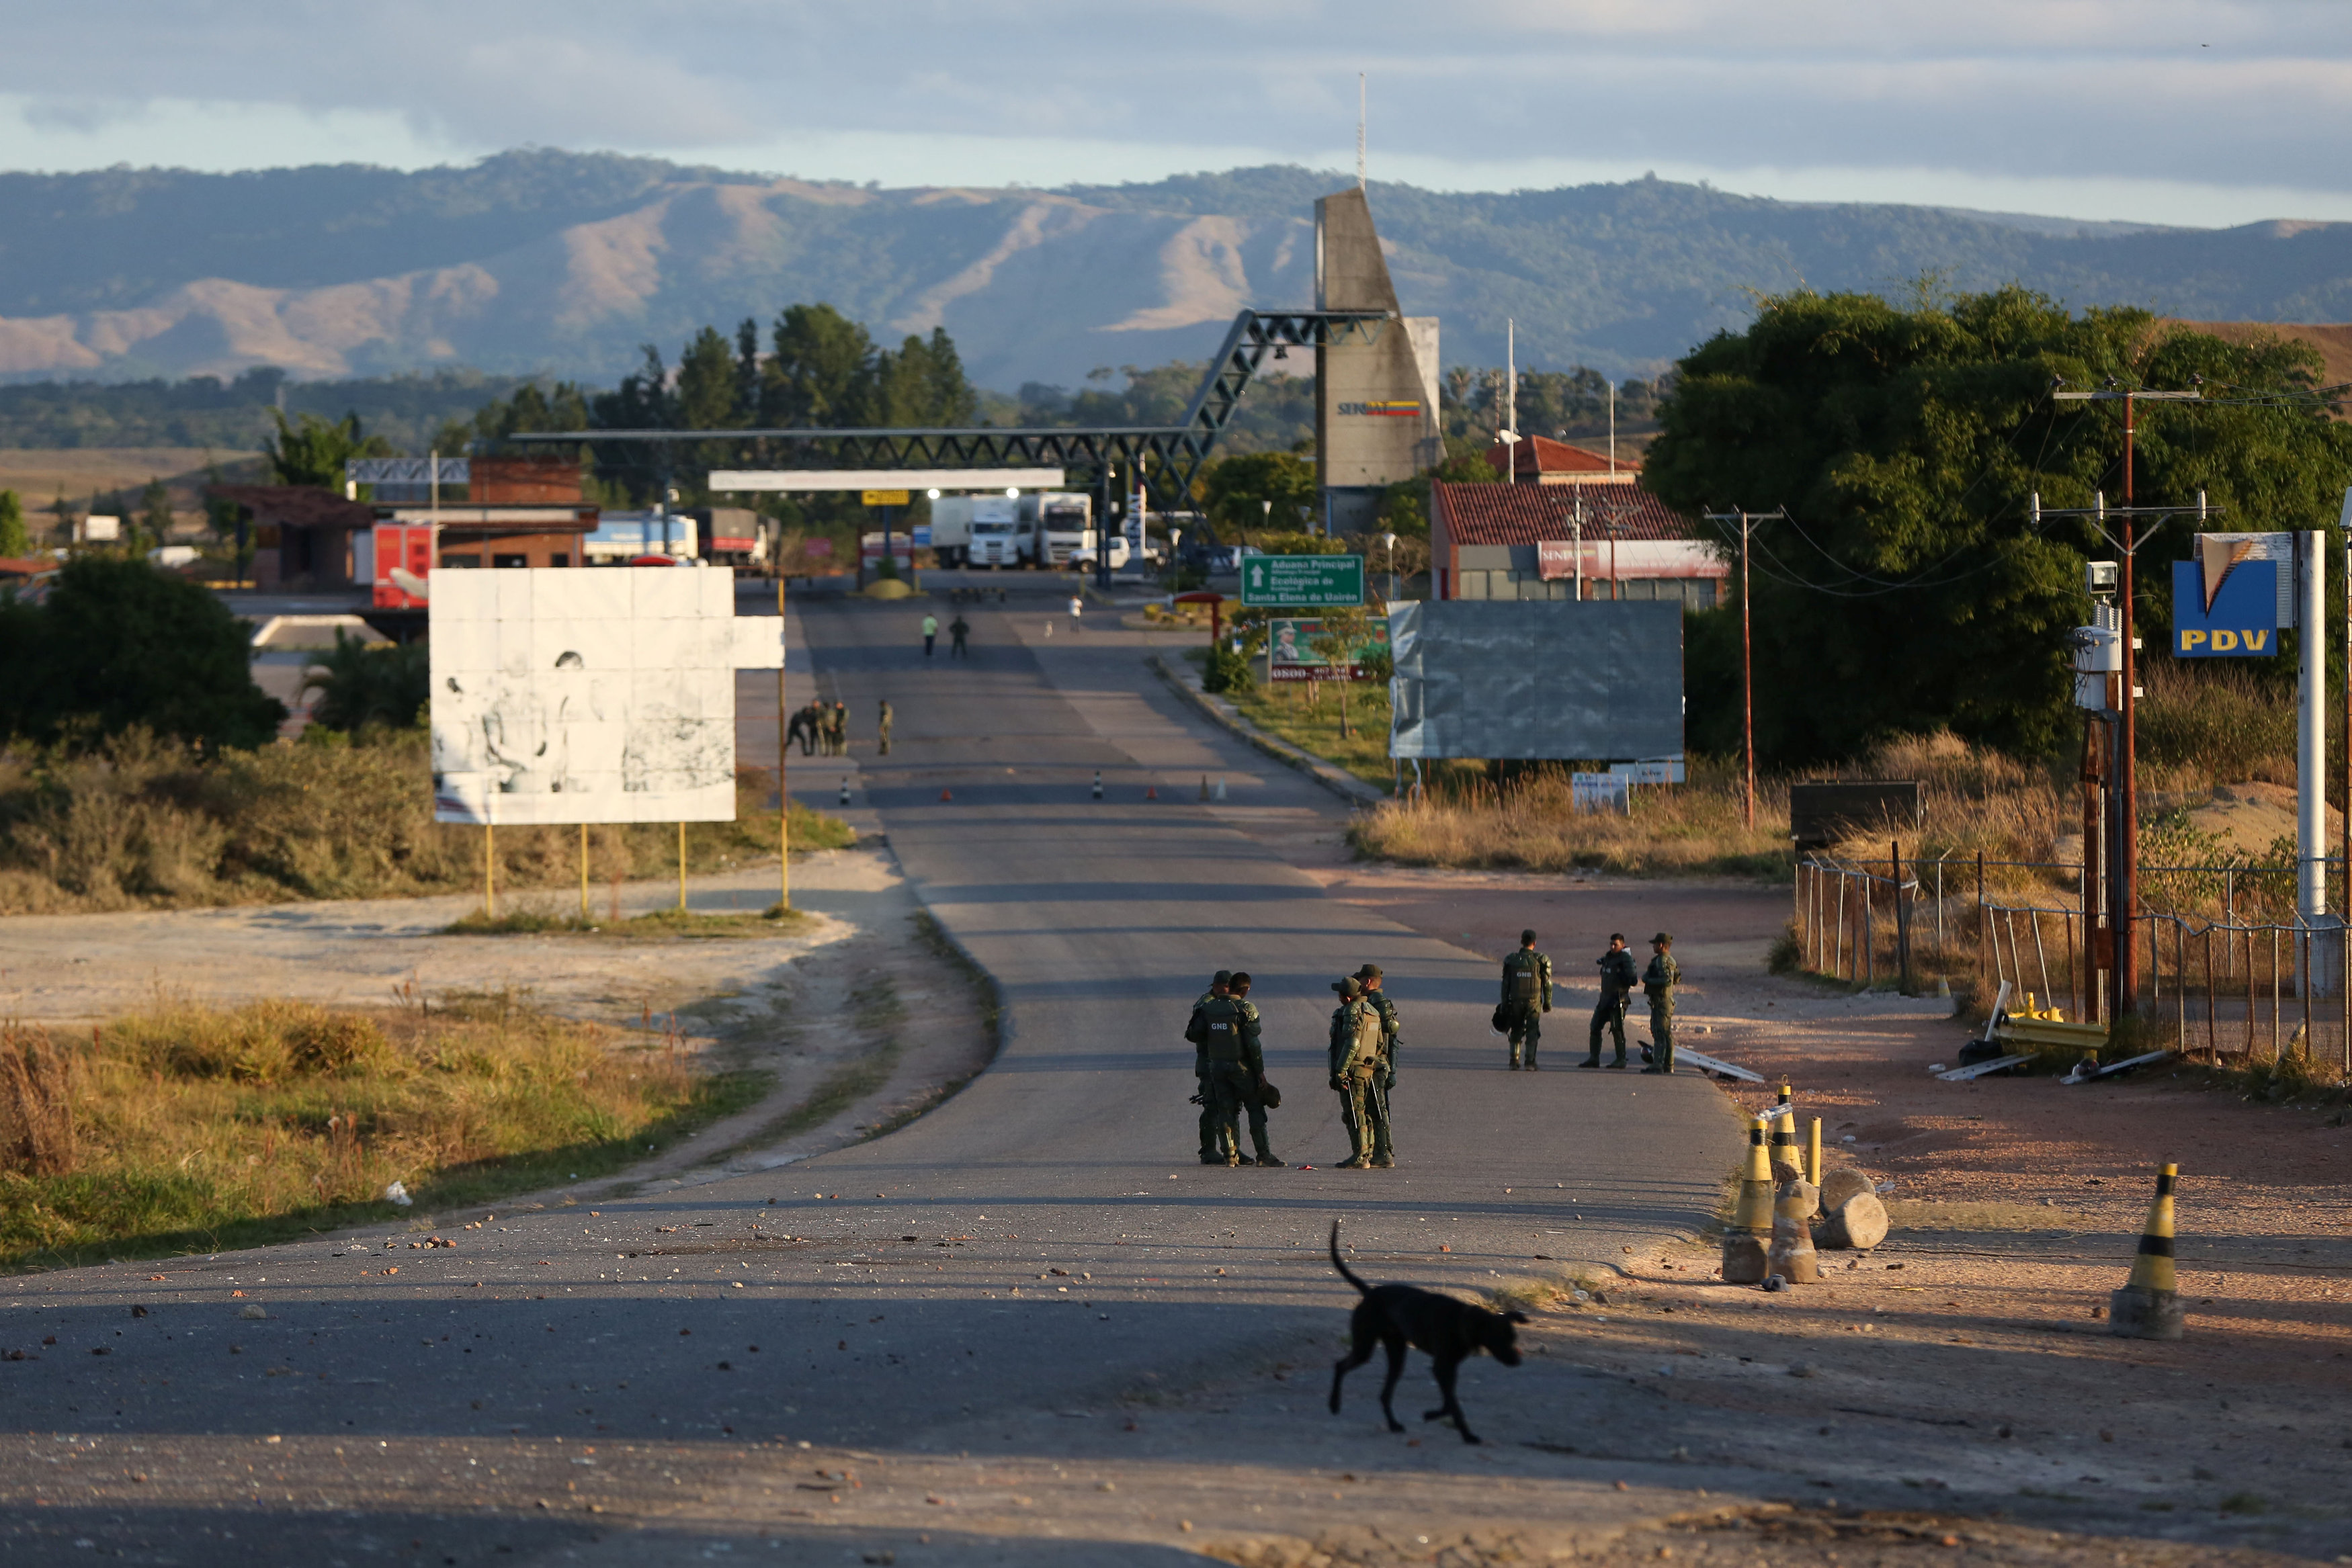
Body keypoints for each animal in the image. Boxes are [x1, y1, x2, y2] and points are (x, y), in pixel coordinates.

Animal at [1327, 1222, 1524, 1448]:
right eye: (1500, 1338)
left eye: (1513, 1339)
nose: (1518, 1361)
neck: (1461, 1321)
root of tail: (1370, 1293)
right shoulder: (1441, 1368)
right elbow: (1453, 1405)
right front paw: (1467, 1435)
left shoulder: (1449, 1369)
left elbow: (1449, 1402)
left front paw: (1432, 1415)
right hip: (1365, 1346)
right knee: (1340, 1366)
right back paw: (1334, 1405)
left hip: (1396, 1353)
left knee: (1384, 1394)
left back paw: (1394, 1425)